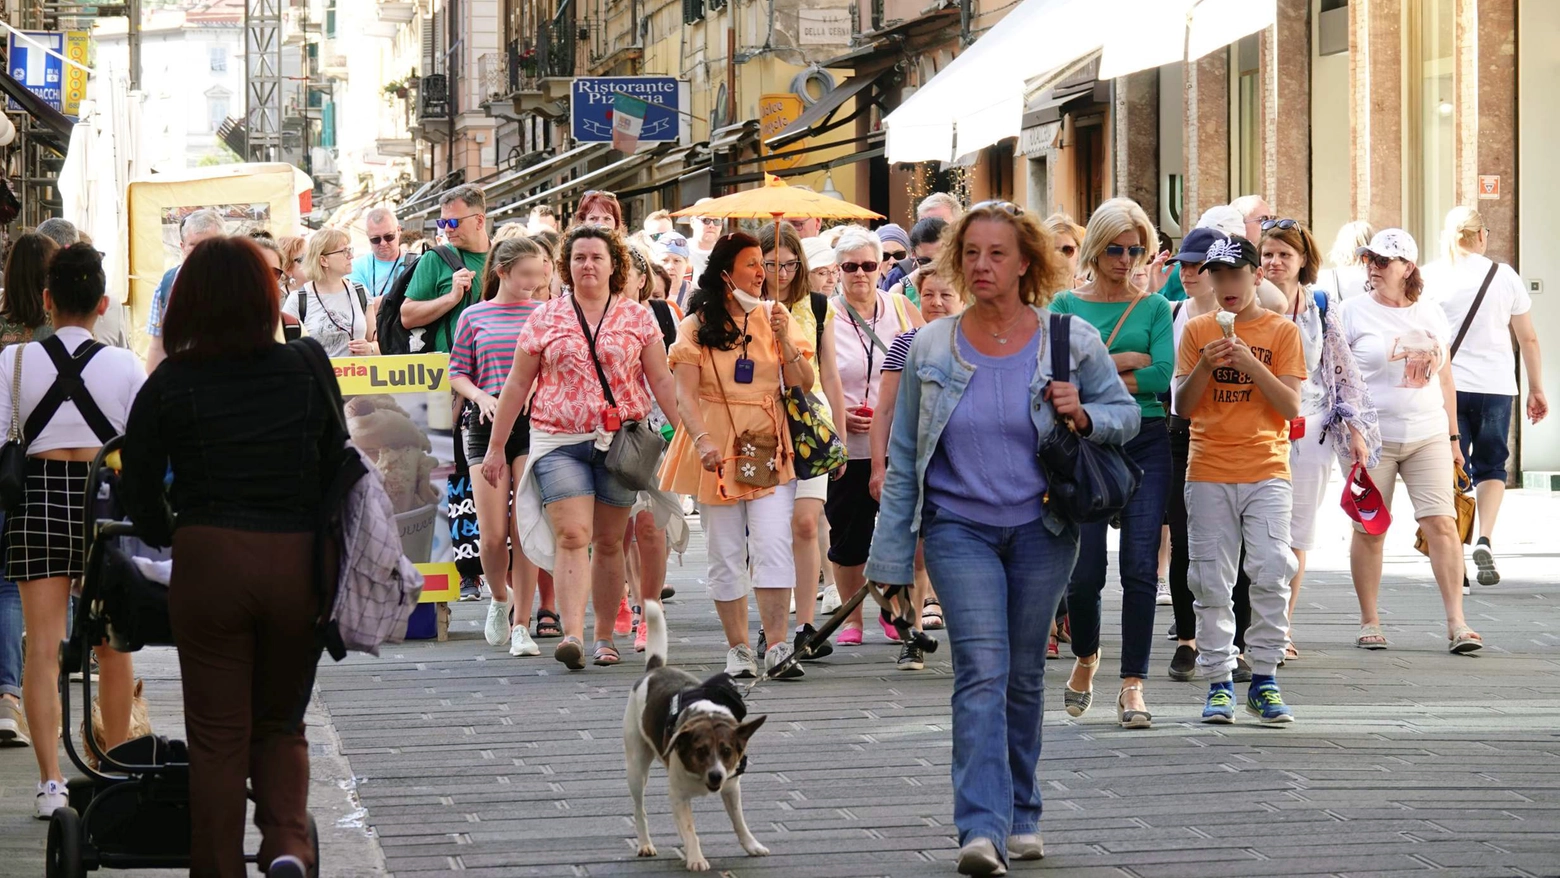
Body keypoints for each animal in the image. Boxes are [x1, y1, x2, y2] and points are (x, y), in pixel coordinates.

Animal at [620, 605, 767, 873]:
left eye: (727, 751)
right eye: (700, 751)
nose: (716, 775)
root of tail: (654, 669)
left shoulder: (732, 788)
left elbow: (739, 822)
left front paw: (751, 845)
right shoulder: (678, 796)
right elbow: (690, 830)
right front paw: (696, 858)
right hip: (636, 768)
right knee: (639, 810)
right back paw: (645, 844)